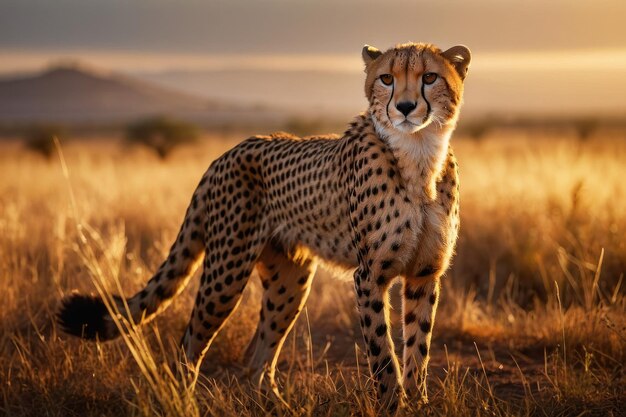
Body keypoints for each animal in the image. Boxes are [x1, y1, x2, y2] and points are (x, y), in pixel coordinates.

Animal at [58, 43, 468, 410]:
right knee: (190, 343)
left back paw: (276, 403)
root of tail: (227, 152)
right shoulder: (370, 276)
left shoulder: (423, 274)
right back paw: (185, 399)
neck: (419, 153)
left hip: (289, 281)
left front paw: (418, 403)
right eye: (386, 78)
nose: (405, 107)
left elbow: (418, 347)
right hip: (227, 273)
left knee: (256, 359)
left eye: (429, 77)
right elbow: (383, 353)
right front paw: (392, 404)